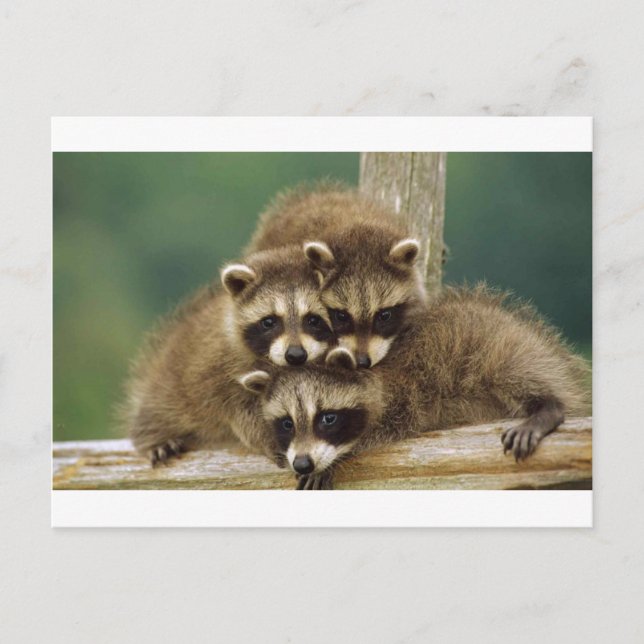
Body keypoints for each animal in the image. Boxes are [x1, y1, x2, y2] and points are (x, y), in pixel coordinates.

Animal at [124, 245, 335, 465]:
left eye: (313, 319)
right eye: (269, 321)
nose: (295, 355)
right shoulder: (219, 370)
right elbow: (241, 412)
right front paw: (274, 436)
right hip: (168, 386)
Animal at [240, 285, 589, 489]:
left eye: (327, 418)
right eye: (286, 423)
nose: (302, 462)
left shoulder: (404, 394)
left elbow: (381, 429)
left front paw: (334, 459)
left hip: (504, 347)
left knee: (517, 372)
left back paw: (548, 406)